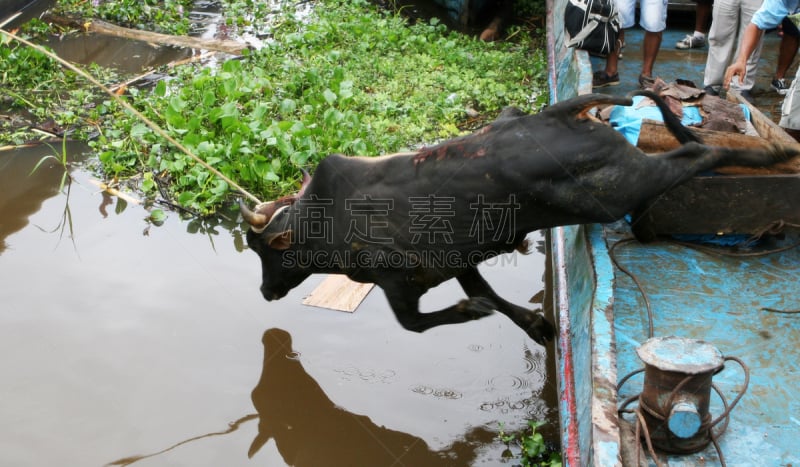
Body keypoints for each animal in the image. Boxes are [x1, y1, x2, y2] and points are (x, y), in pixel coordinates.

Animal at [239, 92, 800, 348]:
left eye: (266, 251)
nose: (264, 292)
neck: (324, 223)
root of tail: (561, 112)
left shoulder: (397, 282)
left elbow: (417, 322)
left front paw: (470, 312)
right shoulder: (458, 259)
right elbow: (492, 296)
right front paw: (535, 324)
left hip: (610, 192)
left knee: (700, 155)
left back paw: (773, 154)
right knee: (686, 157)